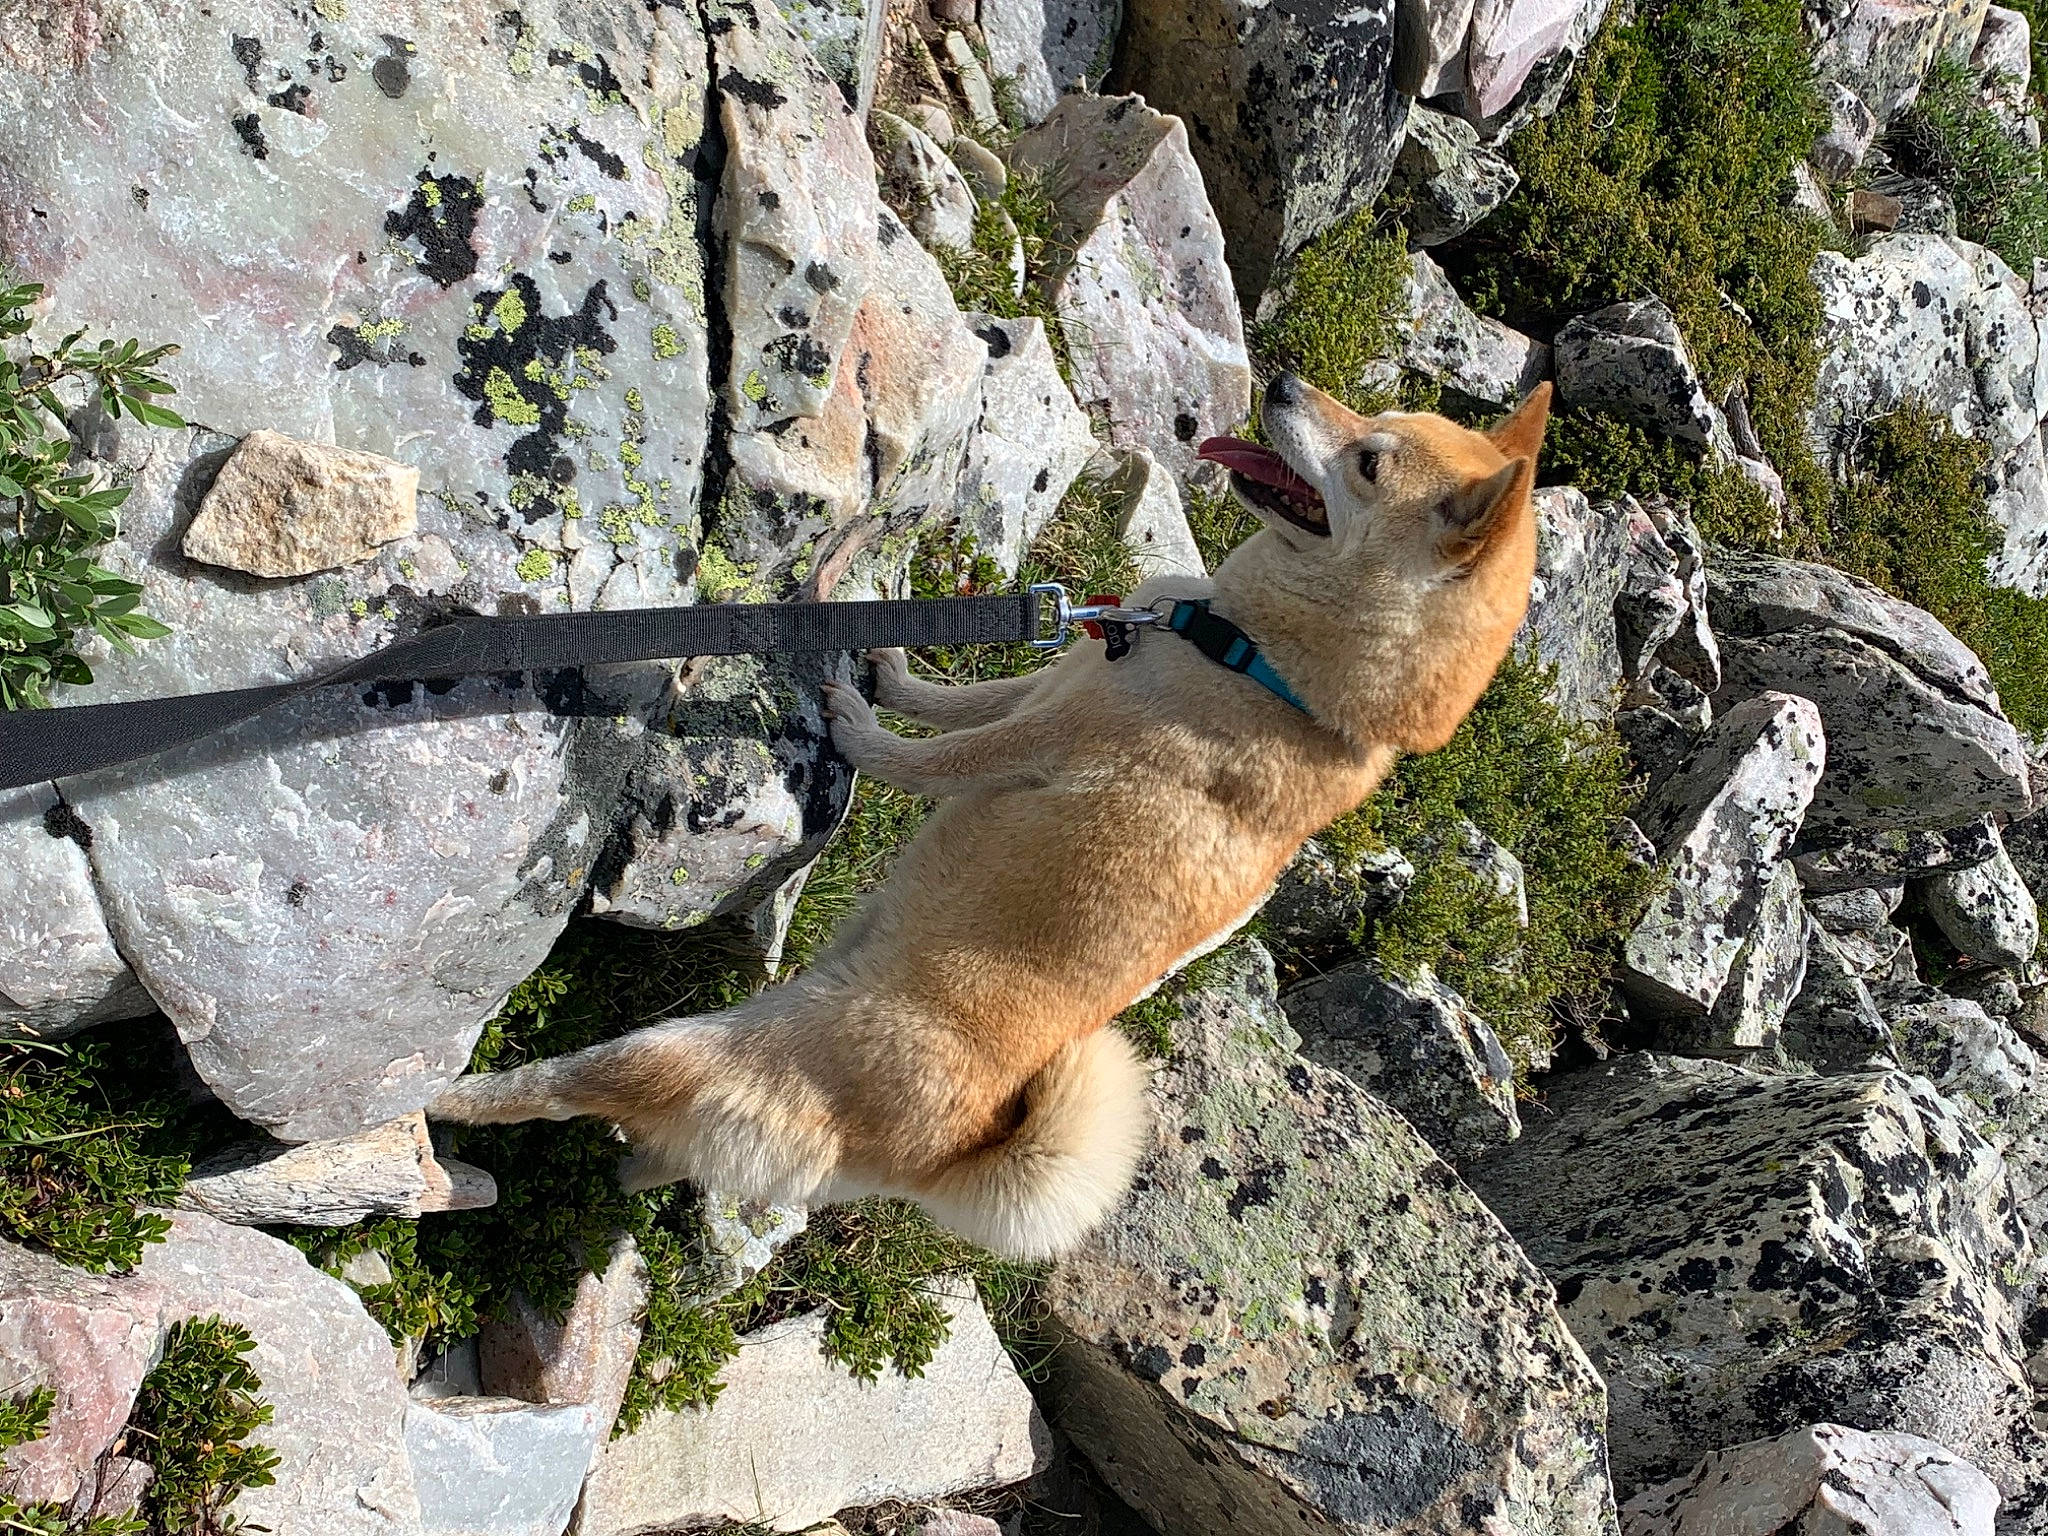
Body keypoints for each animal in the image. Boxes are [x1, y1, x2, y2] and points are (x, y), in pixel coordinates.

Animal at [430, 373, 1552, 1260]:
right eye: (1375, 422)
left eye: (1368, 462)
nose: (1277, 380)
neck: (1269, 668)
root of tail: (946, 1156)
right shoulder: (1050, 680)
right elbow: (951, 700)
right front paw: (887, 667)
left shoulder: (1042, 738)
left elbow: (926, 756)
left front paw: (853, 722)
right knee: (656, 1156)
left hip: (689, 1053)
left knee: (556, 1087)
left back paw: (426, 1113)